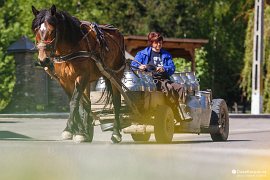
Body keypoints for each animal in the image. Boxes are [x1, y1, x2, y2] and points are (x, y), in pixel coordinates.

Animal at [31, 4, 126, 143]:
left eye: (52, 31)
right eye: (36, 30)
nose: (44, 59)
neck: (70, 48)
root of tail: (117, 33)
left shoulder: (81, 77)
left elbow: (74, 102)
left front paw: (69, 130)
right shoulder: (64, 80)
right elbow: (76, 102)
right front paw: (79, 131)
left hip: (115, 75)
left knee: (116, 101)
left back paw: (116, 134)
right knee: (87, 103)